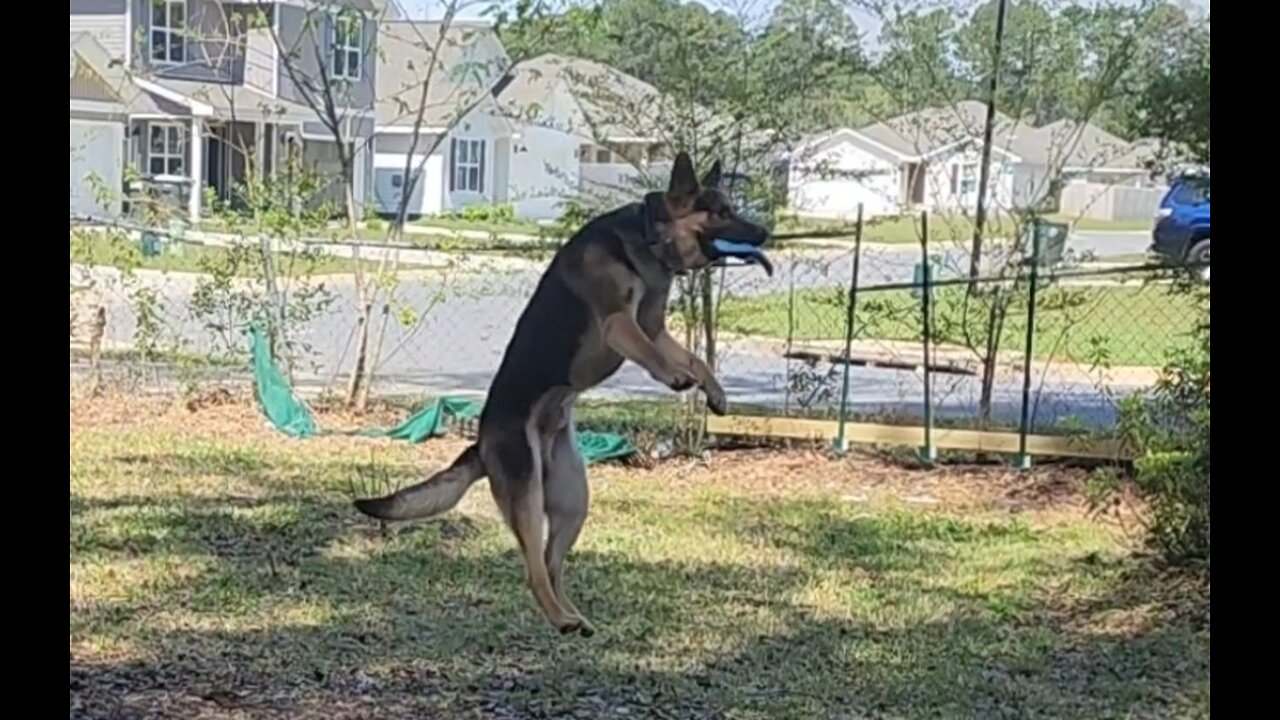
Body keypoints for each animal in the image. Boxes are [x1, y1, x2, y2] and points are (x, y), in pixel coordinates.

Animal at [350, 151, 768, 632]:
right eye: (720, 212)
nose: (765, 234)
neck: (648, 237)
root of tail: (482, 443)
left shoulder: (653, 327)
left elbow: (697, 359)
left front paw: (715, 393)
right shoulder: (621, 325)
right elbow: (661, 357)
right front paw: (677, 378)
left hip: (573, 501)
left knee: (551, 565)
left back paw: (571, 617)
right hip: (527, 492)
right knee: (533, 568)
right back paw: (559, 617)